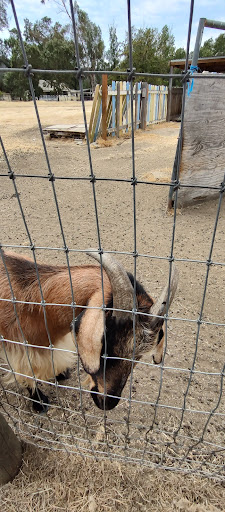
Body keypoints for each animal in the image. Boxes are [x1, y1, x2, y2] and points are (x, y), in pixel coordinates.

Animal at [0, 250, 178, 414]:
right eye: (106, 344)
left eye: (138, 356)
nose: (107, 403)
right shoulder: (21, 349)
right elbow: (26, 373)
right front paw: (40, 402)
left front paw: (61, 373)